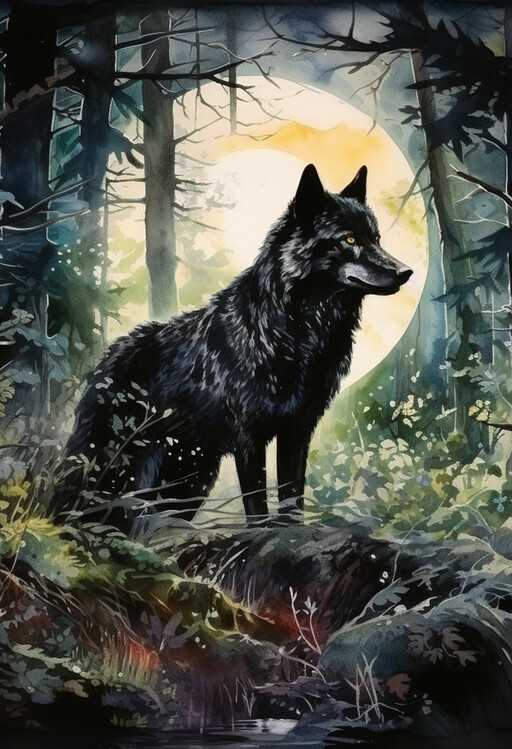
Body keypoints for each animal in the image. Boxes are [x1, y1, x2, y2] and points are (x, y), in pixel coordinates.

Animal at [55, 164, 412, 523]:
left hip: (188, 480)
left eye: (376, 239)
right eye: (349, 239)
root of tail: (106, 359)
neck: (296, 334)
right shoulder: (249, 437)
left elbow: (291, 496)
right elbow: (257, 503)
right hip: (118, 469)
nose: (406, 271)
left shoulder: (297, 430)